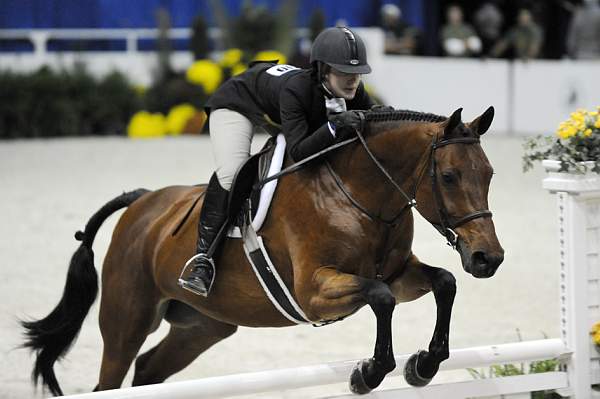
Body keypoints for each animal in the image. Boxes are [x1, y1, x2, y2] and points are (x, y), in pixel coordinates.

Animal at [22, 106, 502, 396]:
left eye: (490, 174)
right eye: (449, 176)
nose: (488, 258)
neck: (360, 196)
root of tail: (142, 203)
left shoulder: (400, 274)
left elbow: (444, 282)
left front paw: (424, 364)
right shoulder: (315, 291)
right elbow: (381, 299)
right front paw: (368, 373)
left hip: (202, 327)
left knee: (148, 371)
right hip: (127, 320)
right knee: (113, 376)